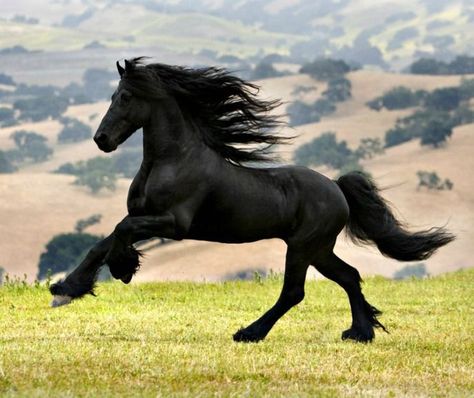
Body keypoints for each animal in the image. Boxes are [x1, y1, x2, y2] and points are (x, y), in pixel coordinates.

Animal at [50, 58, 454, 342]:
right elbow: (103, 243)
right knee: (349, 277)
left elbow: (120, 232)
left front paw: (123, 268)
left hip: (303, 247)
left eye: (125, 97)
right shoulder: (145, 217)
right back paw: (359, 333)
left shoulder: (173, 223)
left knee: (294, 291)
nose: (102, 139)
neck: (172, 159)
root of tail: (337, 188)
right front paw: (65, 290)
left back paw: (249, 333)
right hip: (319, 248)